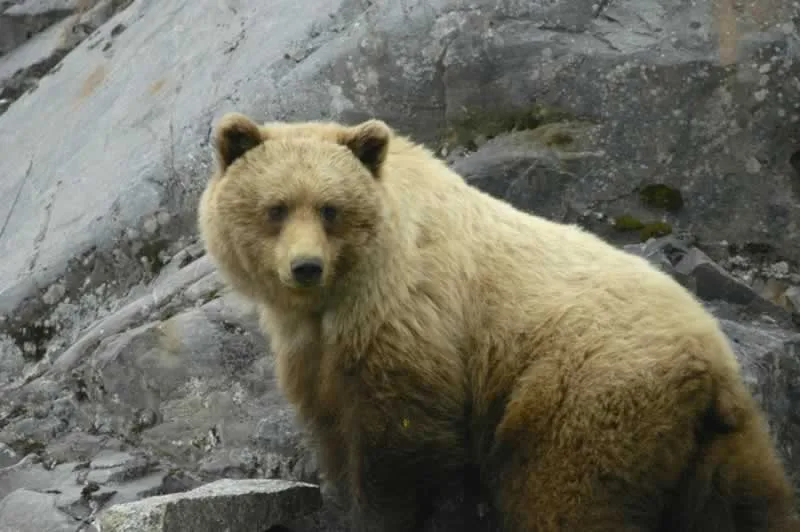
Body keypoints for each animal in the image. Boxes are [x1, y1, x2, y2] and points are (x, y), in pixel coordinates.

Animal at [197, 111, 799, 532]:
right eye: (275, 208)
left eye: (330, 209)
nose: (305, 266)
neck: (340, 295)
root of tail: (709, 365)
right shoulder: (315, 354)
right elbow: (335, 429)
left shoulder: (411, 322)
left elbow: (400, 450)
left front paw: (380, 513)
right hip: (718, 444)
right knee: (749, 505)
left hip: (582, 397)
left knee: (566, 498)